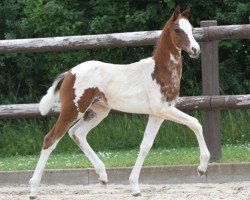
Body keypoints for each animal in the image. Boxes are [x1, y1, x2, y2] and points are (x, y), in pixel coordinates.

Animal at [29, 5, 210, 198]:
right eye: (177, 30)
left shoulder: (157, 114)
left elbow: (146, 145)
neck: (160, 71)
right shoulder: (162, 109)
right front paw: (201, 167)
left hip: (98, 111)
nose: (195, 49)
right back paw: (33, 189)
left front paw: (135, 187)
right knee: (51, 139)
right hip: (73, 109)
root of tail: (69, 73)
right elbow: (195, 122)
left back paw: (102, 176)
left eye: (192, 29)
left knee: (77, 133)